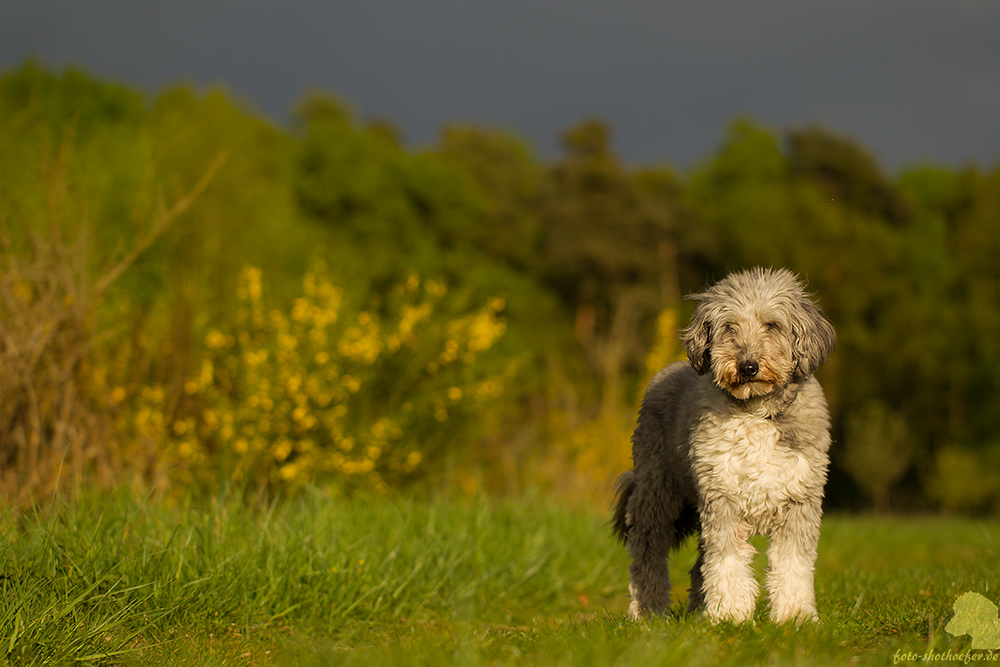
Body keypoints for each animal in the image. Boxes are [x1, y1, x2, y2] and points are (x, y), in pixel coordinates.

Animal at [608, 268, 836, 628]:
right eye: (729, 326)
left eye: (772, 325)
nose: (748, 366)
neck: (756, 410)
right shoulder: (722, 497)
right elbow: (727, 561)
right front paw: (730, 615)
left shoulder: (800, 499)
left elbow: (792, 563)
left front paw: (795, 616)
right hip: (656, 493)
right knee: (647, 555)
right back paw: (648, 612)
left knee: (697, 565)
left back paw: (698, 610)